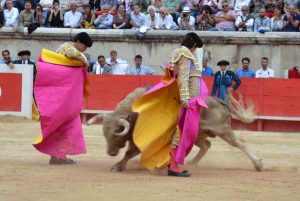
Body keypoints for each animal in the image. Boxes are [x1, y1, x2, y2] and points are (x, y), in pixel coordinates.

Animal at [88, 86, 264, 171]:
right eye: (105, 135)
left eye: (116, 134)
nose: (110, 153)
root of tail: (219, 101)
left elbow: (130, 152)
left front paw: (118, 166)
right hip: (197, 134)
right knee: (206, 145)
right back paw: (191, 163)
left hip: (222, 129)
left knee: (239, 143)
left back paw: (258, 164)